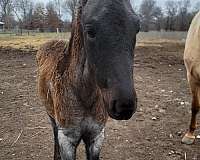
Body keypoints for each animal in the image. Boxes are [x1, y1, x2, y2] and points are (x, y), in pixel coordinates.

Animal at [36, 0, 139, 159]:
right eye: (90, 31)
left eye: (137, 28)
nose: (124, 105)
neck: (83, 94)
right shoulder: (67, 140)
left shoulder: (96, 137)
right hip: (51, 115)